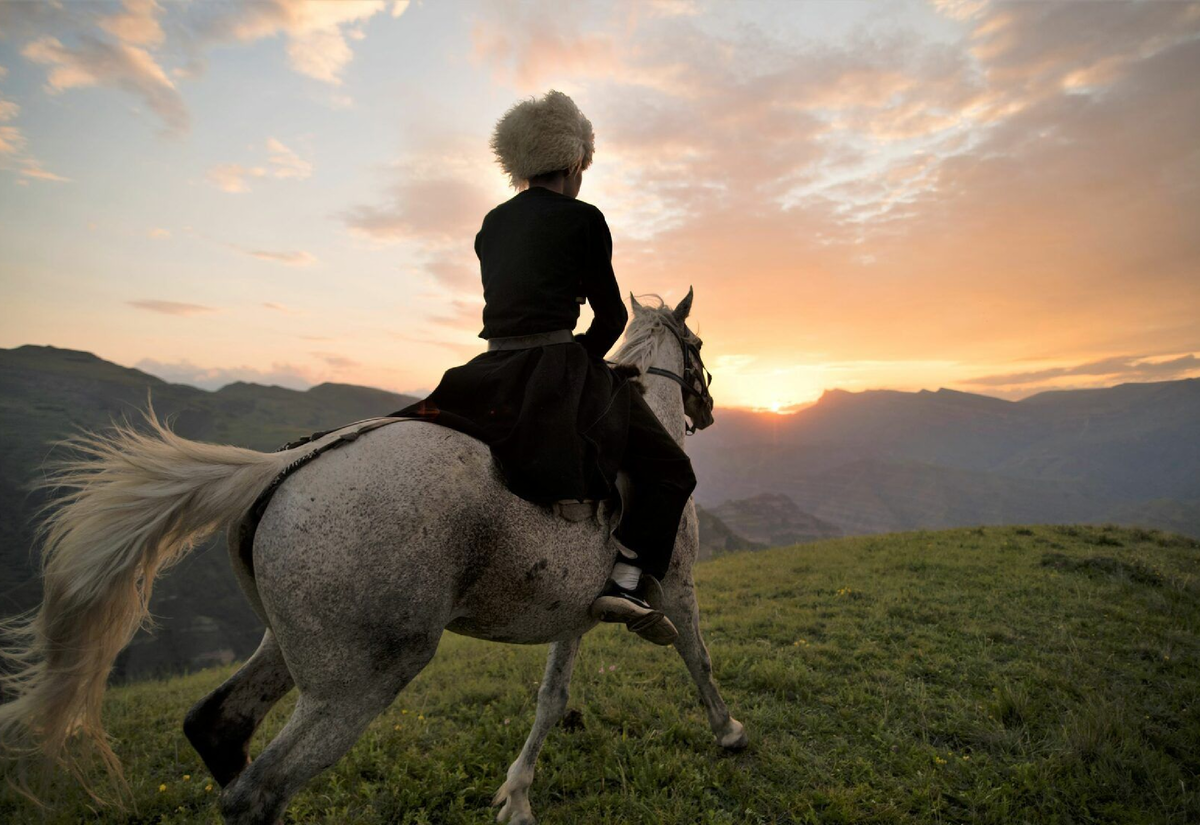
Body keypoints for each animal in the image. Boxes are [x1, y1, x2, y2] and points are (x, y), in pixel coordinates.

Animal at [0, 286, 744, 820]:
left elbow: (551, 698)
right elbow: (697, 656)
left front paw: (516, 795)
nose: (708, 410)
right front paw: (730, 731)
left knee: (217, 725)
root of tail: (284, 466)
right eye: (700, 343)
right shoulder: (676, 585)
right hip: (361, 678)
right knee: (257, 791)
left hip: (295, 650)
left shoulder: (577, 612)